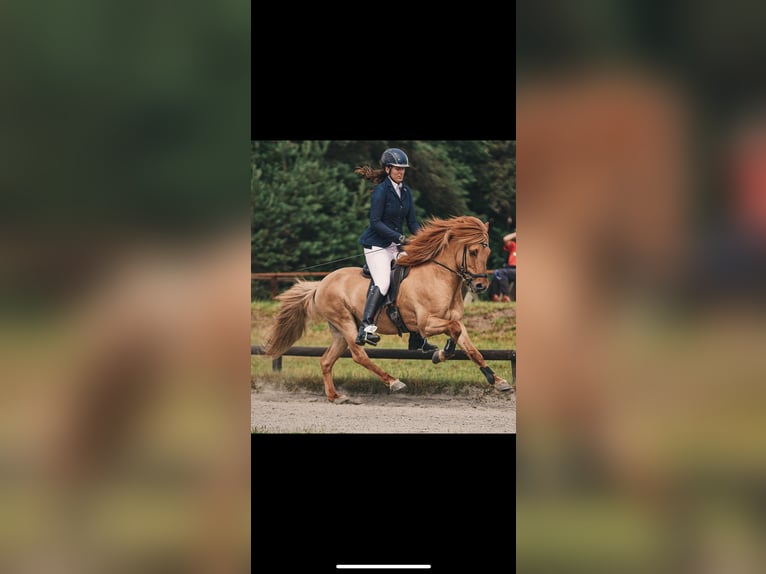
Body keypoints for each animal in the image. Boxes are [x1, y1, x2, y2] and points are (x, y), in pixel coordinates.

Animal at [262, 215, 514, 403]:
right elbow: (453, 331)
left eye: (488, 252)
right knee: (359, 355)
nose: (481, 286)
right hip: (346, 323)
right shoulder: (427, 323)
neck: (440, 277)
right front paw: (441, 353)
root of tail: (321, 284)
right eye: (472, 252)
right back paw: (393, 381)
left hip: (339, 331)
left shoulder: (454, 321)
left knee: (326, 360)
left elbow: (470, 348)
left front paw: (499, 382)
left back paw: (335, 396)